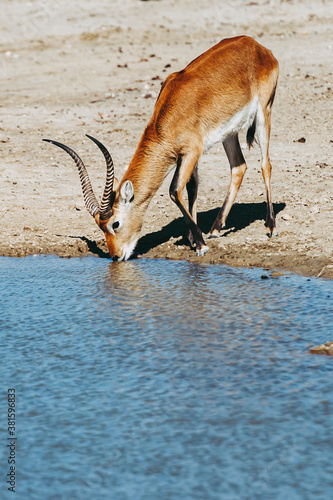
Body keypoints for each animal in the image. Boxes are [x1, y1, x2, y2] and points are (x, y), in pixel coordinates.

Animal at [43, 35, 278, 262]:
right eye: (100, 228)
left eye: (115, 224)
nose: (116, 256)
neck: (171, 113)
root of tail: (256, 45)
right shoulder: (187, 155)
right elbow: (191, 187)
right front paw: (193, 238)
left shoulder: (192, 151)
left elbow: (174, 190)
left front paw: (200, 245)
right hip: (229, 133)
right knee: (239, 167)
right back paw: (215, 229)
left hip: (263, 113)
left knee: (265, 164)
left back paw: (271, 226)